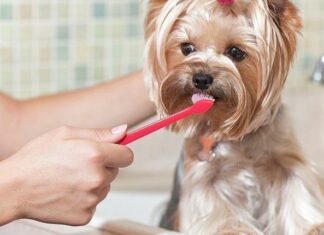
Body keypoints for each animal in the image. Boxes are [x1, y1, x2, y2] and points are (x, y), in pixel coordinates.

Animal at [144, 0, 324, 233]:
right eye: (187, 48)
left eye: (236, 52)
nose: (201, 78)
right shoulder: (204, 177)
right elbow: (218, 209)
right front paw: (235, 230)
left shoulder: (286, 161)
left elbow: (298, 190)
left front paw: (313, 226)